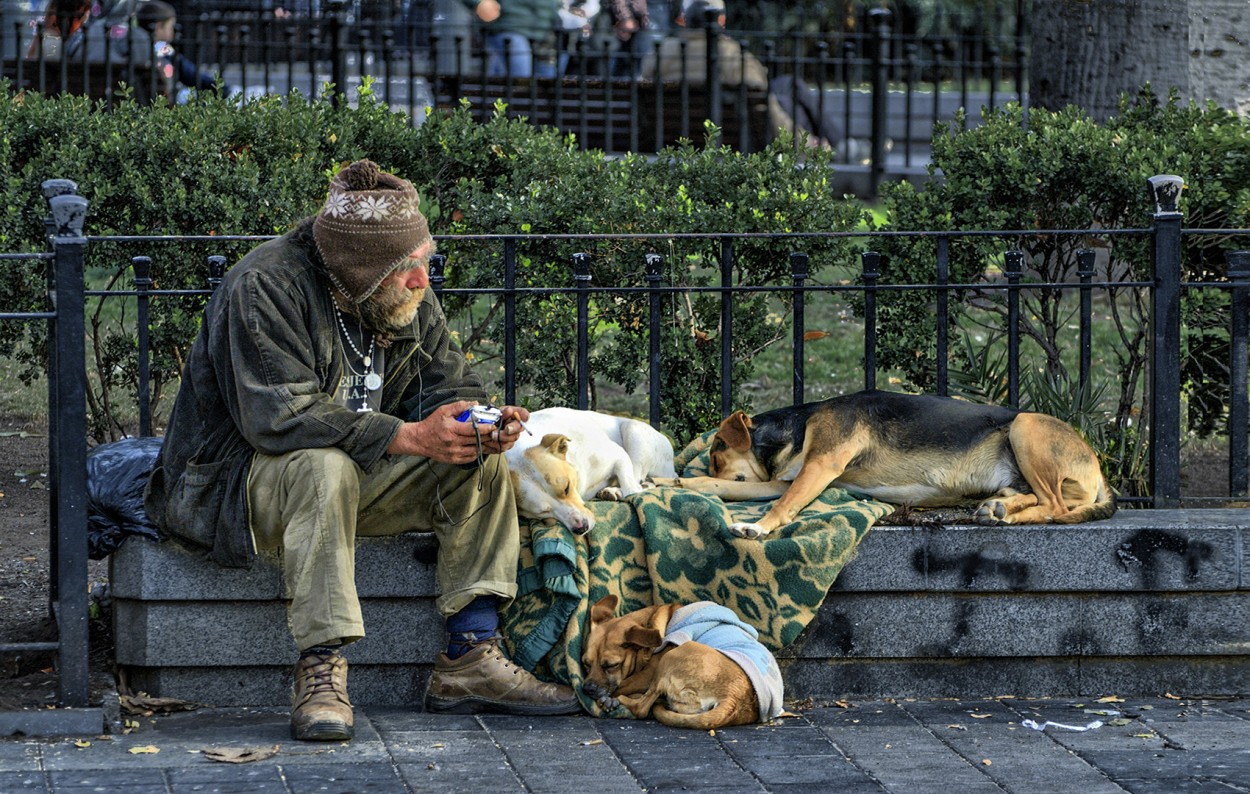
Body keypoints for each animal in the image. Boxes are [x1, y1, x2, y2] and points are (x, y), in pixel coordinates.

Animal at [505, 410, 680, 535]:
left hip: (633, 430)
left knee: (636, 479)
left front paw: (620, 489)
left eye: (566, 488)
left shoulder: (618, 455)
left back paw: (617, 490)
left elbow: (630, 487)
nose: (581, 528)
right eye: (543, 511)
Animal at [577, 595, 780, 735]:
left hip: (673, 655)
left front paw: (611, 697)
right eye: (586, 663)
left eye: (611, 665)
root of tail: (733, 699)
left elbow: (622, 686)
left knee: (641, 708)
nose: (587, 688)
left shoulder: (646, 675)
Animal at [655, 392, 1115, 540]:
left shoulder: (820, 466)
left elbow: (783, 505)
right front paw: (668, 481)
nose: (712, 458)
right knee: (1037, 499)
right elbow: (719, 488)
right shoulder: (785, 479)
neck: (798, 426)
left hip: (1024, 426)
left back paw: (1005, 513)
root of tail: (1099, 468)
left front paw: (759, 527)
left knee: (1055, 506)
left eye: (716, 450)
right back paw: (998, 508)